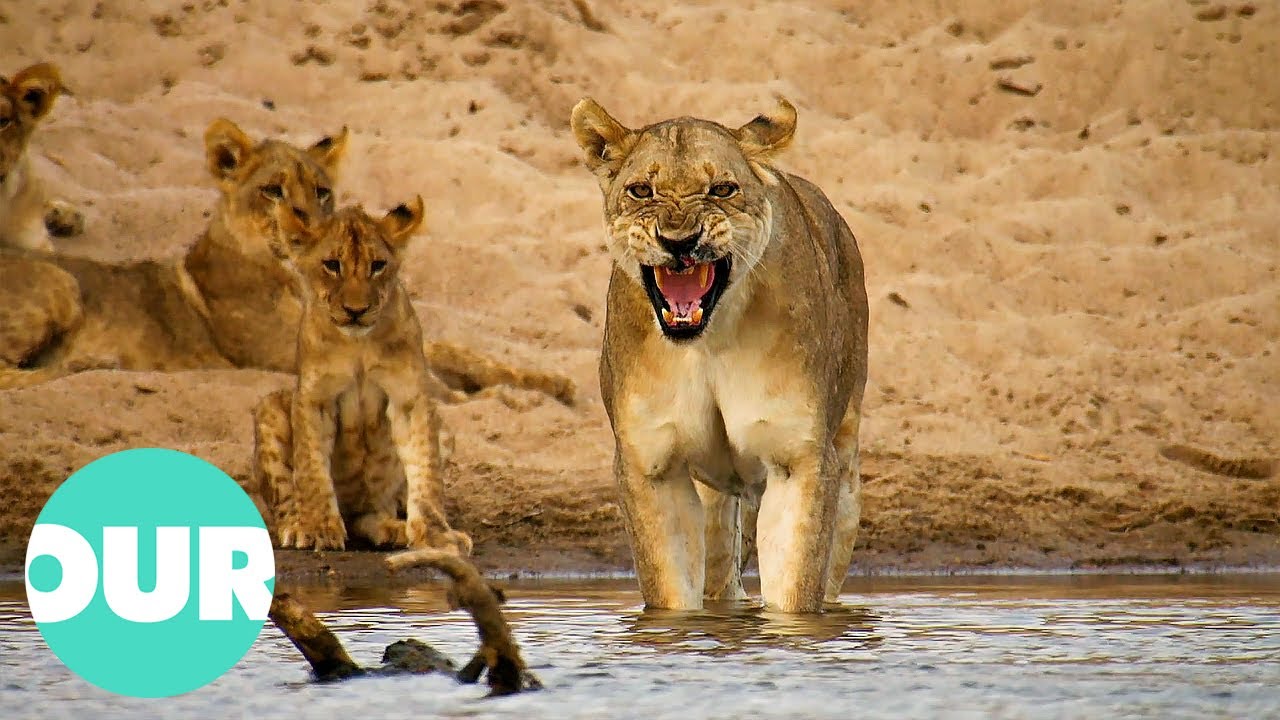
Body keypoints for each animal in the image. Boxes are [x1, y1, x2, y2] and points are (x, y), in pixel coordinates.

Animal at [253, 195, 471, 554]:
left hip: (443, 433)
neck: (358, 343)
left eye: (378, 265)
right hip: (270, 409)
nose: (356, 311)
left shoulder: (409, 398)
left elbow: (426, 471)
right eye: (332, 265)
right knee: (285, 498)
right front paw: (317, 527)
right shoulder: (315, 397)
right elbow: (311, 467)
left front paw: (435, 534)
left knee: (373, 513)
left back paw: (394, 529)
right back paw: (296, 525)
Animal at [570, 97, 869, 613]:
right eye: (641, 190)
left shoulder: (798, 460)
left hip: (845, 455)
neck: (705, 343)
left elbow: (794, 591)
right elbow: (671, 593)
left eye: (723, 189)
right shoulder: (652, 467)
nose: (679, 241)